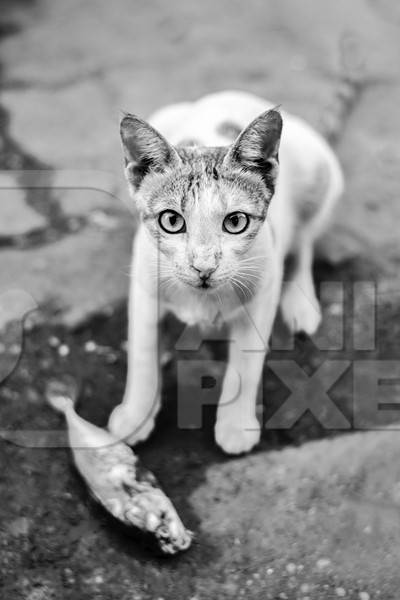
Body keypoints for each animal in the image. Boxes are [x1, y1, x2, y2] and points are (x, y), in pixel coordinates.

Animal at [107, 90, 344, 454]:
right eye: (172, 220)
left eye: (235, 222)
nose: (204, 266)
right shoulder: (144, 286)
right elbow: (142, 354)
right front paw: (136, 416)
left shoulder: (263, 290)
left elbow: (246, 363)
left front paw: (235, 426)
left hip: (322, 173)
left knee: (304, 239)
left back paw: (301, 301)